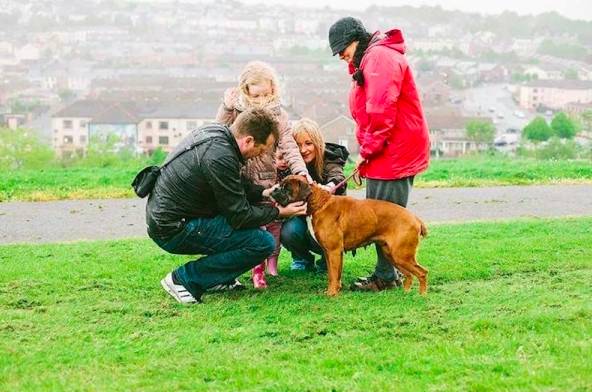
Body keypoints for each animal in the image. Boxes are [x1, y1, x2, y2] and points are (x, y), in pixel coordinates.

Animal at [280, 175, 428, 298]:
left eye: (287, 188)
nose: (276, 190)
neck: (320, 203)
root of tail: (416, 218)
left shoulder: (334, 252)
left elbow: (333, 274)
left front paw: (332, 294)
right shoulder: (330, 253)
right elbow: (333, 275)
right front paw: (335, 290)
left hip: (401, 255)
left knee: (422, 272)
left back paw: (422, 296)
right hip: (393, 255)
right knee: (409, 275)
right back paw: (406, 293)